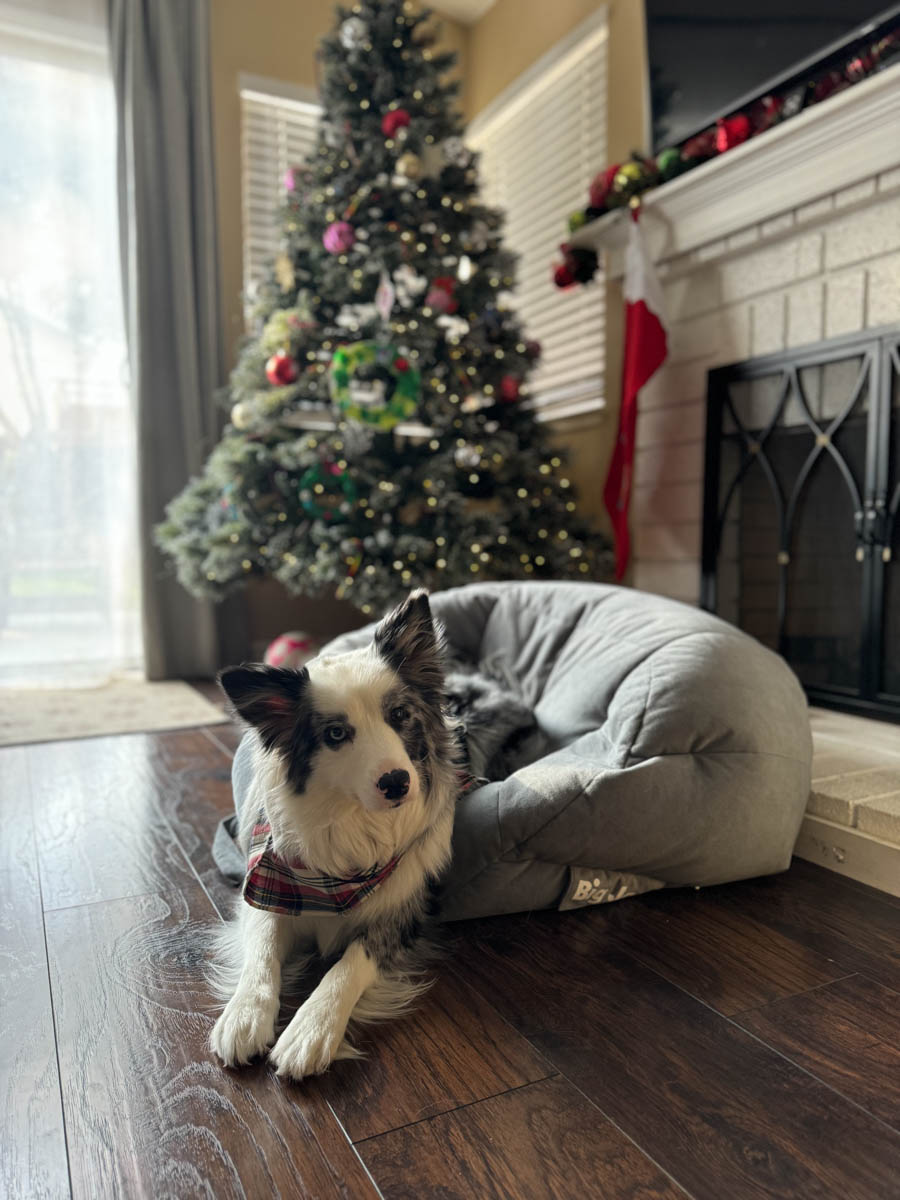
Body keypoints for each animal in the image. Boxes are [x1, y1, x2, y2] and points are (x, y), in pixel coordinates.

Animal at [206, 588, 458, 1080]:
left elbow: (348, 965)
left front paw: (311, 1030)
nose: (397, 783)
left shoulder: (402, 911)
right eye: (336, 734)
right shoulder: (266, 888)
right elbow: (261, 947)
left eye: (400, 714)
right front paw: (244, 1015)